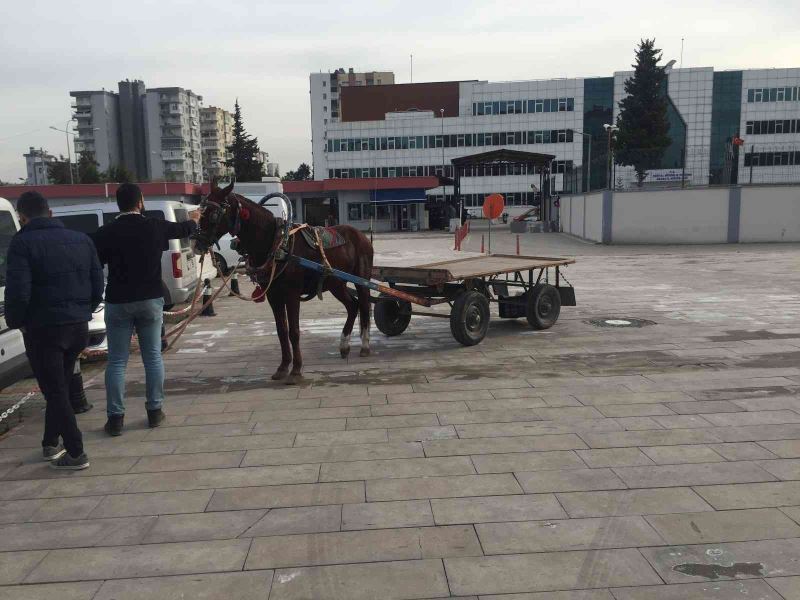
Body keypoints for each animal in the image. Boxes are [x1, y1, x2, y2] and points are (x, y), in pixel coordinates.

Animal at [191, 180, 376, 384]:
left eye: (214, 214)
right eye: (201, 211)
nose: (197, 244)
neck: (277, 244)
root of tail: (361, 235)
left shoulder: (292, 294)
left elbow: (294, 331)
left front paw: (295, 370)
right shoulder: (274, 295)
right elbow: (281, 331)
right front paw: (283, 367)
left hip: (361, 279)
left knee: (364, 306)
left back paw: (365, 346)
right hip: (336, 283)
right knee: (353, 306)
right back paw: (344, 345)